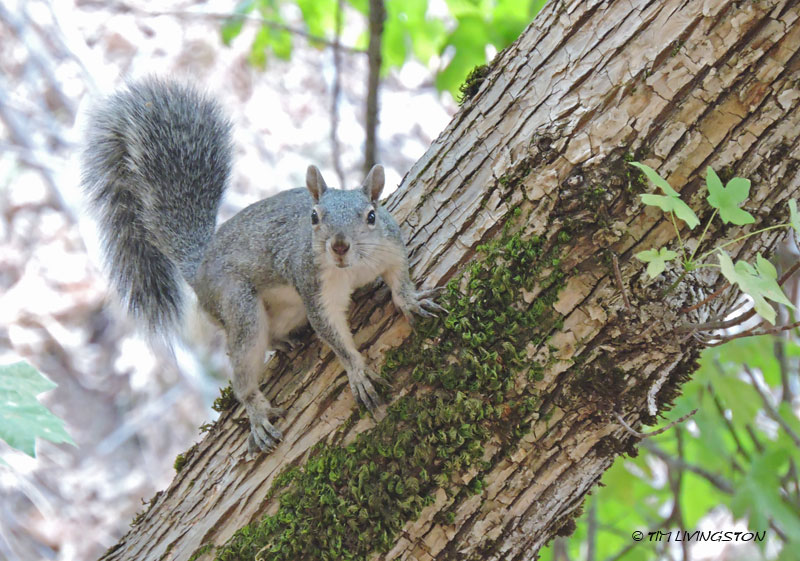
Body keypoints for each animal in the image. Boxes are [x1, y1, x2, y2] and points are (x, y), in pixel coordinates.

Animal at [82, 78, 443, 453]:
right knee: (242, 359)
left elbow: (400, 279)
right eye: (314, 217)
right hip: (237, 304)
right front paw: (357, 372)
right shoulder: (313, 288)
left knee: (273, 332)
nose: (340, 246)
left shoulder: (391, 248)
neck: (352, 268)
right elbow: (333, 335)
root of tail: (200, 268)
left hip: (287, 309)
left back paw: (282, 341)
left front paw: (412, 302)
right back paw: (256, 411)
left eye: (372, 216)